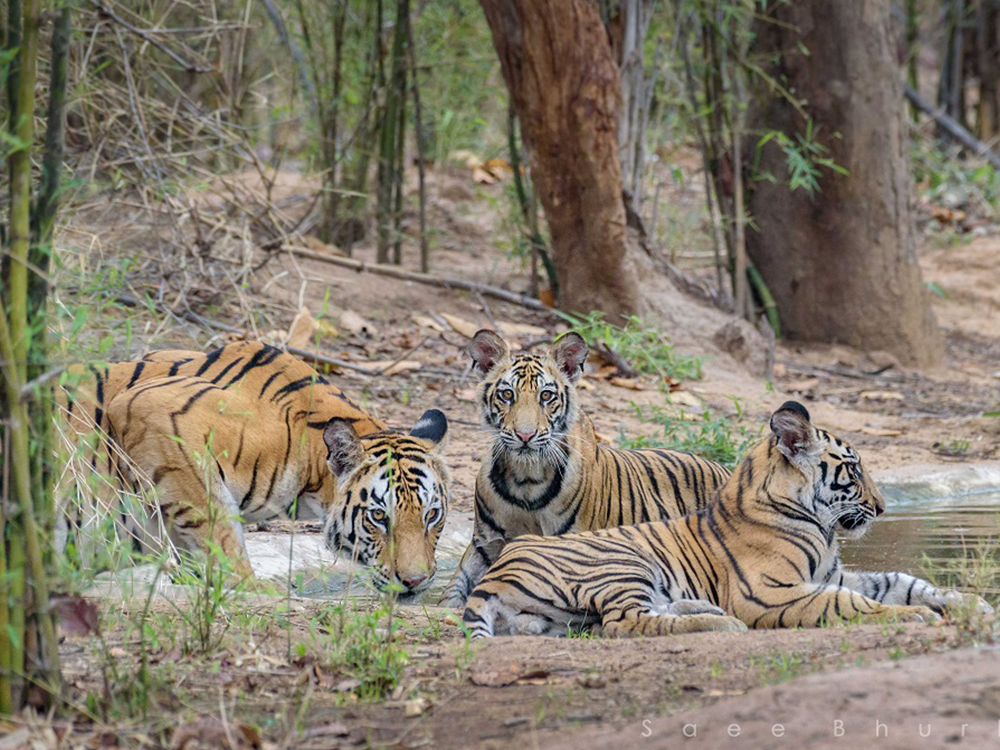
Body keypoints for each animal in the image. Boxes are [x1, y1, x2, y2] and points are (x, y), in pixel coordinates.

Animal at [57, 341, 450, 592]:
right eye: (379, 517)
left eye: (432, 515)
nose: (416, 581)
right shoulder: (149, 406)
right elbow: (217, 526)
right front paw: (251, 587)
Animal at [439, 329, 729, 607]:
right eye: (507, 394)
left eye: (546, 395)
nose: (525, 435)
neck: (526, 479)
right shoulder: (484, 545)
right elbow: (452, 594)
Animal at [462, 401, 993, 637]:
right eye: (854, 468)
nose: (883, 508)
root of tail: (495, 571)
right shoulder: (769, 591)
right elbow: (849, 603)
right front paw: (918, 615)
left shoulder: (836, 574)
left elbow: (903, 580)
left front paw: (970, 603)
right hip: (623, 561)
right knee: (625, 623)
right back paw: (721, 625)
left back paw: (707, 612)